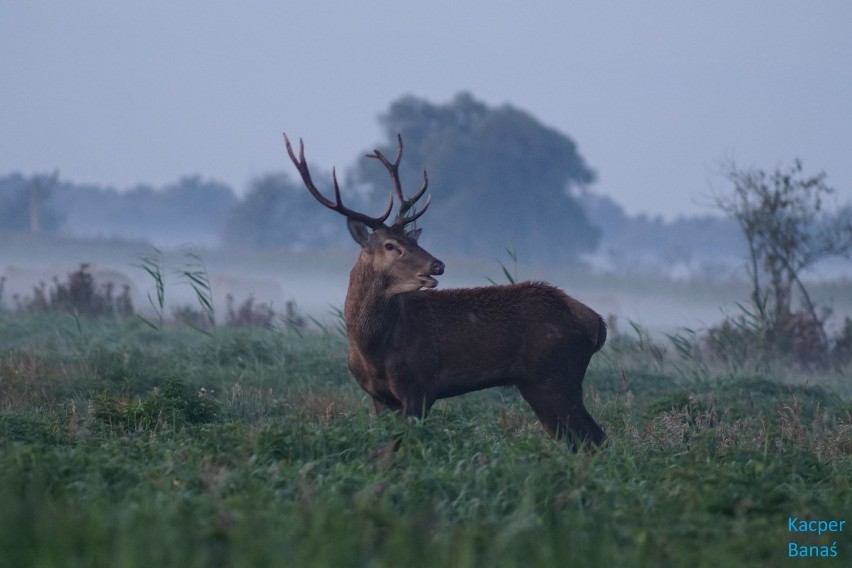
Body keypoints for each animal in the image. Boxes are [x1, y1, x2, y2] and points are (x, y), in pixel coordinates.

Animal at [284, 133, 604, 448]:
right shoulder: (379, 396)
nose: (437, 265)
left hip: (556, 376)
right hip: (541, 382)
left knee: (594, 436)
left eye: (412, 241)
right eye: (391, 245)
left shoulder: (420, 384)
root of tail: (597, 324)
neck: (373, 348)